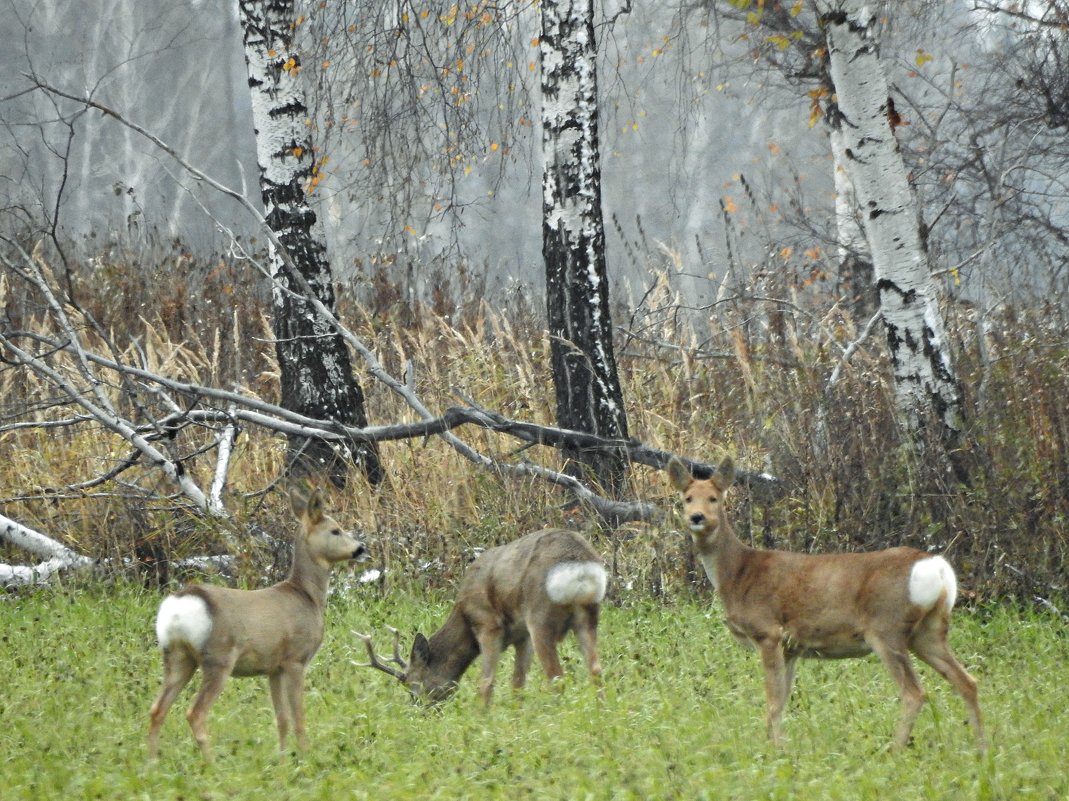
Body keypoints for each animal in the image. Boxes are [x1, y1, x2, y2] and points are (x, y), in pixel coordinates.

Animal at [148, 483, 367, 761]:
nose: (360, 548)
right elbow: (298, 718)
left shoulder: (273, 667)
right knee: (195, 713)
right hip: (218, 658)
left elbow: (281, 719)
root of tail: (179, 606)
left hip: (177, 656)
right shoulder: (295, 659)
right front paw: (305, 756)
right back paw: (211, 764)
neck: (306, 595)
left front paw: (283, 759)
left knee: (157, 709)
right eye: (335, 530)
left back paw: (152, 762)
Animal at [357, 528, 607, 701]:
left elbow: (486, 681)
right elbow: (518, 682)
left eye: (413, 687)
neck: (463, 615)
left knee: (556, 677)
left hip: (540, 617)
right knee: (595, 669)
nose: (421, 712)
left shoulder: (487, 623)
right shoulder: (521, 635)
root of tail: (579, 566)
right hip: (587, 615)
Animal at [667, 455, 983, 748]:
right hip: (928, 631)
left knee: (914, 693)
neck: (738, 574)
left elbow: (772, 701)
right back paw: (982, 749)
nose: (697, 517)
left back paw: (894, 750)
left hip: (887, 628)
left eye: (714, 497)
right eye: (687, 498)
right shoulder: (790, 647)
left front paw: (774, 749)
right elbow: (782, 700)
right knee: (967, 681)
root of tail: (937, 568)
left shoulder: (768, 632)